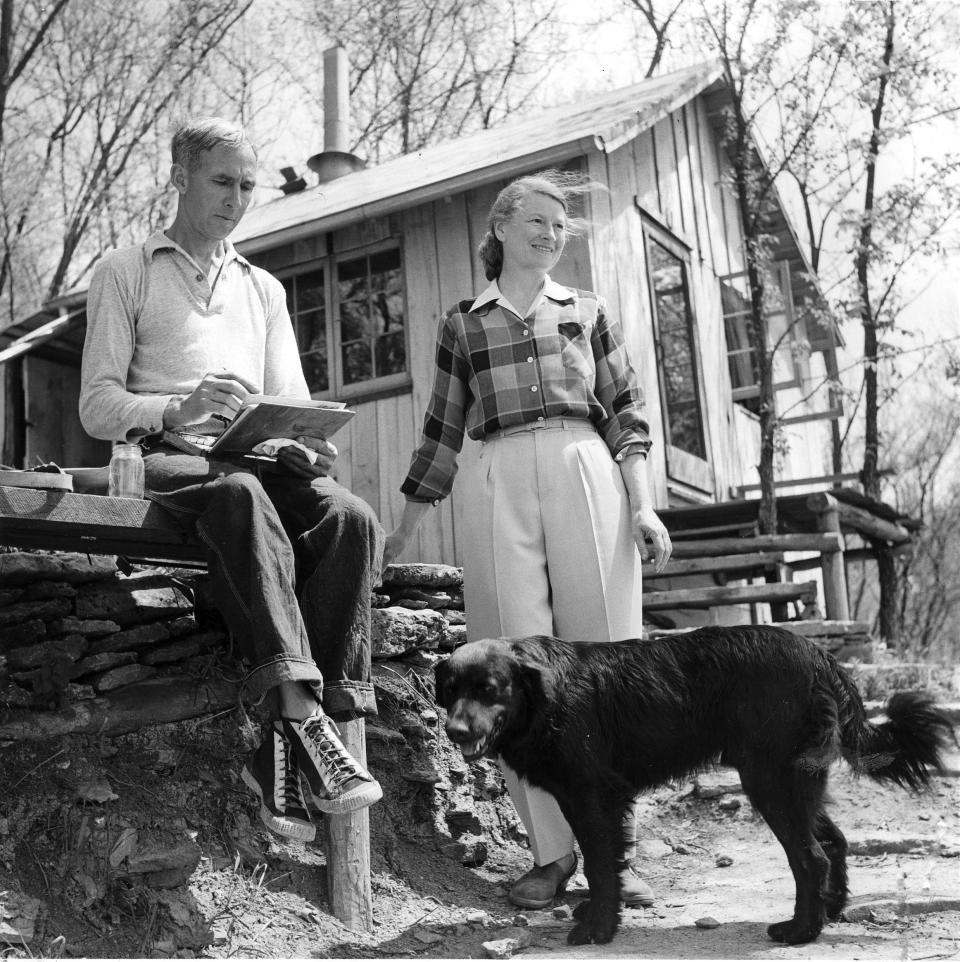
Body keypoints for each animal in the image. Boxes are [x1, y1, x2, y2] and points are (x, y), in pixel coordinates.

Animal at [436, 624, 952, 944]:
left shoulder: (592, 796)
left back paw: (800, 931)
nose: (454, 732)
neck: (547, 696)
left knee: (811, 857)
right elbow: (604, 862)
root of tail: (822, 657)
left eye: (489, 689)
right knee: (836, 841)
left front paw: (597, 929)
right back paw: (833, 909)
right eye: (452, 689)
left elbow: (601, 865)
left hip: (768, 780)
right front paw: (599, 913)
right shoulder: (586, 798)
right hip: (795, 781)